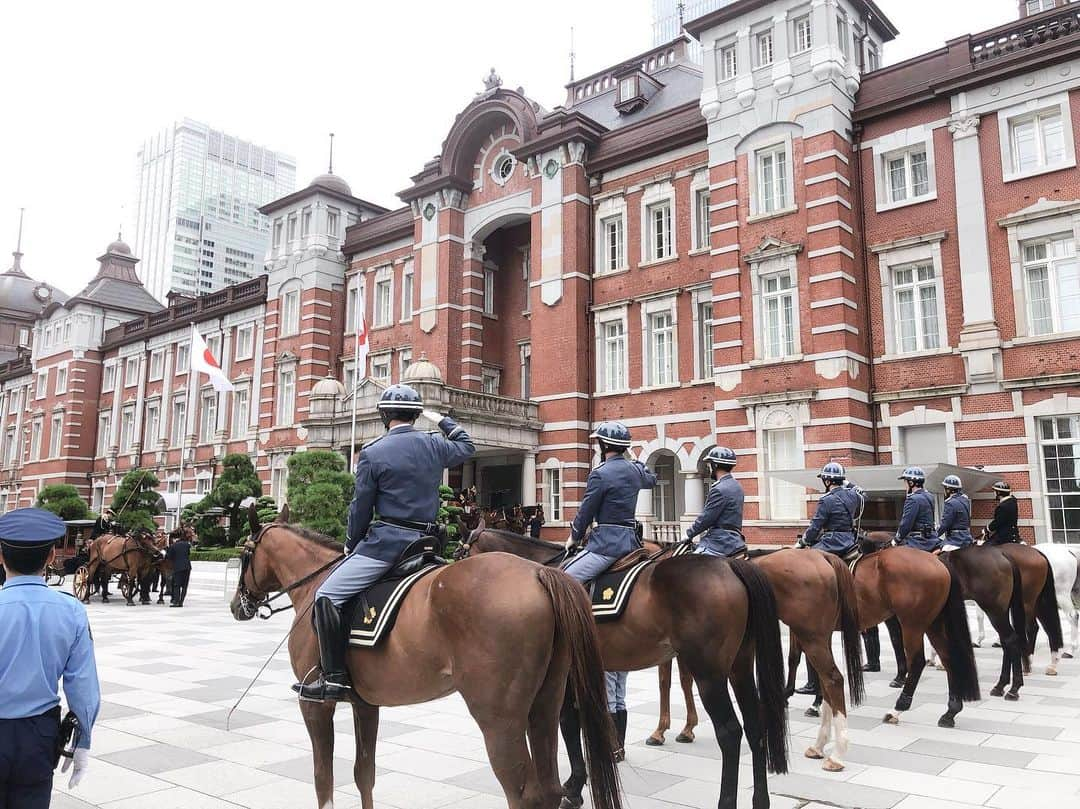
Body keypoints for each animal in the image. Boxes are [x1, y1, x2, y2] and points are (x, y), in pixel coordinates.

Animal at [230, 514, 626, 807]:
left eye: (246, 553)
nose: (237, 606)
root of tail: (538, 573)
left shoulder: (314, 705)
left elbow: (322, 780)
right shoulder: (365, 704)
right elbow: (364, 774)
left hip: (499, 719)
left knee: (524, 794)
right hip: (544, 703)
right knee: (550, 786)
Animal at [462, 524, 786, 807]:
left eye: (463, 552)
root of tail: (730, 566)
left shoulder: (565, 676)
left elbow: (568, 723)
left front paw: (574, 788)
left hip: (709, 673)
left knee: (730, 733)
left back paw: (725, 799)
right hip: (740, 667)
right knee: (755, 724)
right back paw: (761, 800)